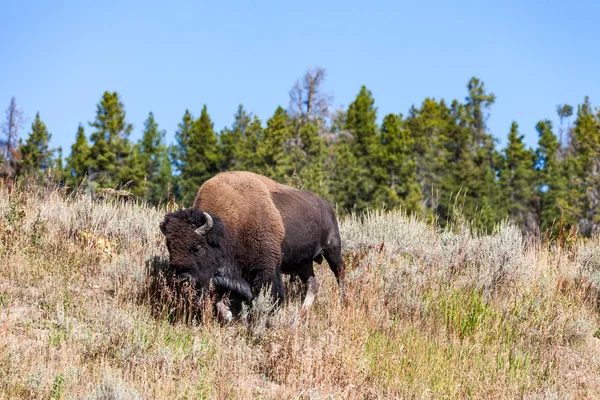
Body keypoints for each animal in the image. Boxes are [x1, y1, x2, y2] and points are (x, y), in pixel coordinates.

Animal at [158, 170, 346, 320]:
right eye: (170, 248)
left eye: (197, 248)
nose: (183, 280)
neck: (231, 223)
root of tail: (327, 206)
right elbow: (219, 298)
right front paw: (228, 316)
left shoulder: (266, 269)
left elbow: (270, 294)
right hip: (304, 264)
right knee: (313, 284)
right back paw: (303, 311)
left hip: (332, 250)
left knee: (340, 273)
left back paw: (342, 301)